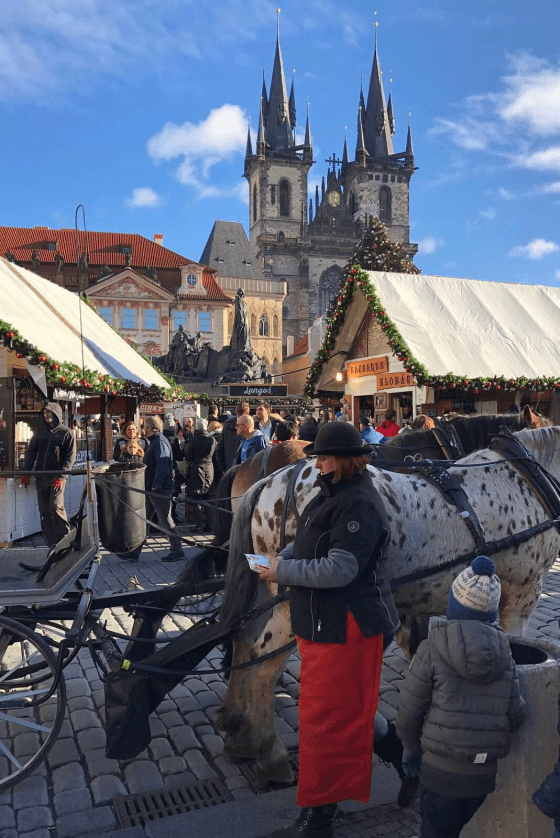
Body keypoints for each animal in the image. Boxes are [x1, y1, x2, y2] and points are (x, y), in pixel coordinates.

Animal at [217, 430, 560, 792]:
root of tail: (268, 482)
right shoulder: (522, 595)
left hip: (263, 592)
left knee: (243, 641)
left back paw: (238, 733)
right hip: (292, 603)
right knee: (264, 665)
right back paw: (271, 755)